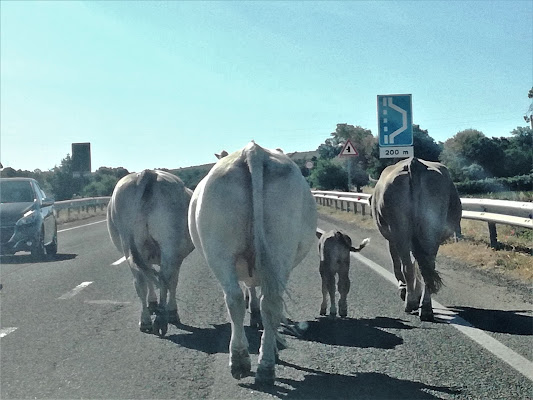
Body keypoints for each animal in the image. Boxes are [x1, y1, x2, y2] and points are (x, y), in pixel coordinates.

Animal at [107, 170, 194, 336]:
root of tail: (147, 173)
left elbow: (149, 279)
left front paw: (153, 304)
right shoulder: (177, 257)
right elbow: (172, 281)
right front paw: (170, 310)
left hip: (130, 245)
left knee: (140, 280)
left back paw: (146, 321)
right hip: (169, 245)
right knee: (166, 278)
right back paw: (162, 318)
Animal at [190, 141, 318, 384]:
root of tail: (253, 151)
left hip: (220, 253)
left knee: (236, 300)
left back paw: (244, 360)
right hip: (277, 252)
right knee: (268, 302)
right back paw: (264, 363)